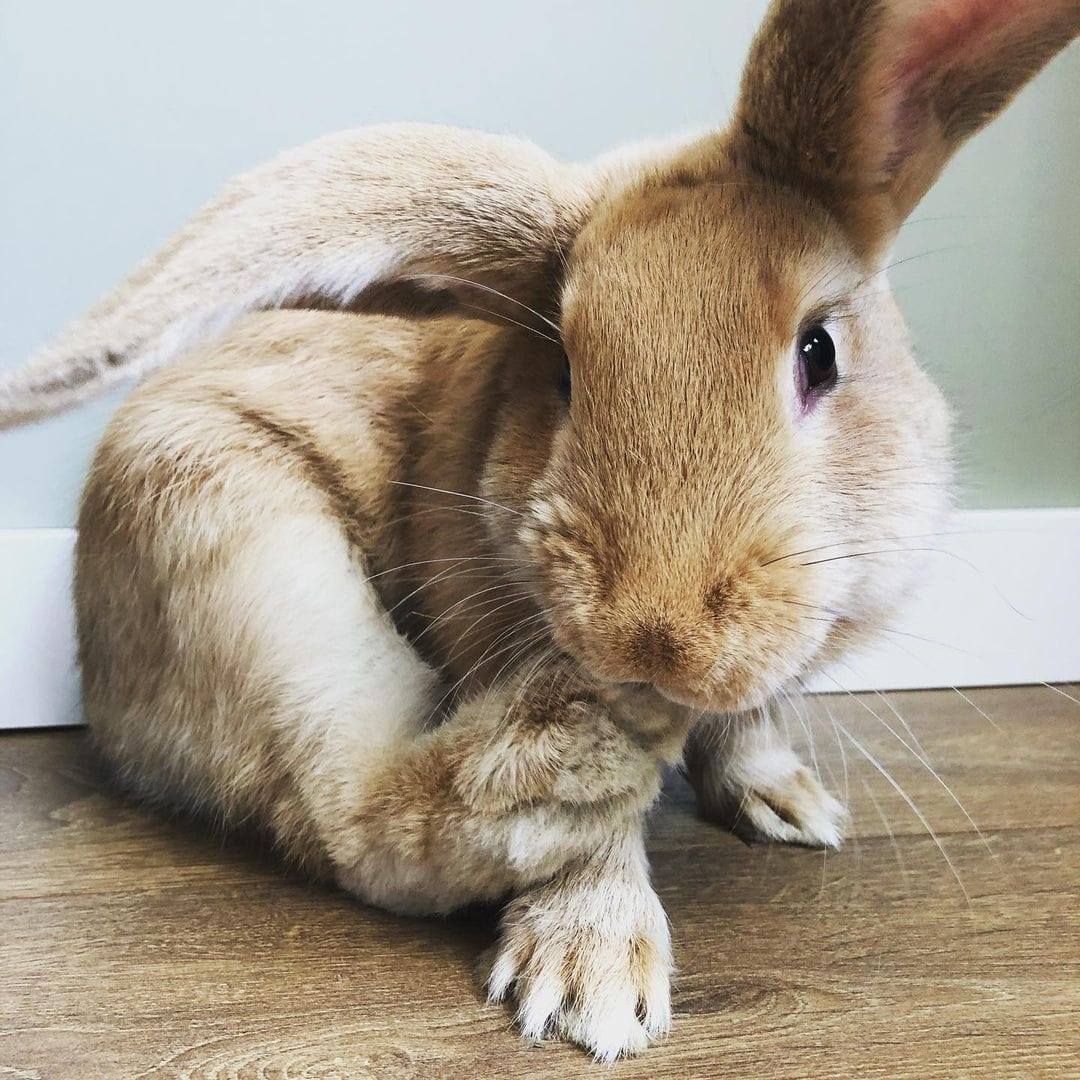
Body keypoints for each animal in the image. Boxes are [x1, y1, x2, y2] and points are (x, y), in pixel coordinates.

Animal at [2, 0, 1075, 1061]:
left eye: (820, 353)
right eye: (560, 366)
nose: (652, 637)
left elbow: (749, 724)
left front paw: (791, 806)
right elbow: (591, 850)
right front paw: (590, 982)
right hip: (243, 557)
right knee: (355, 822)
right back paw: (579, 749)